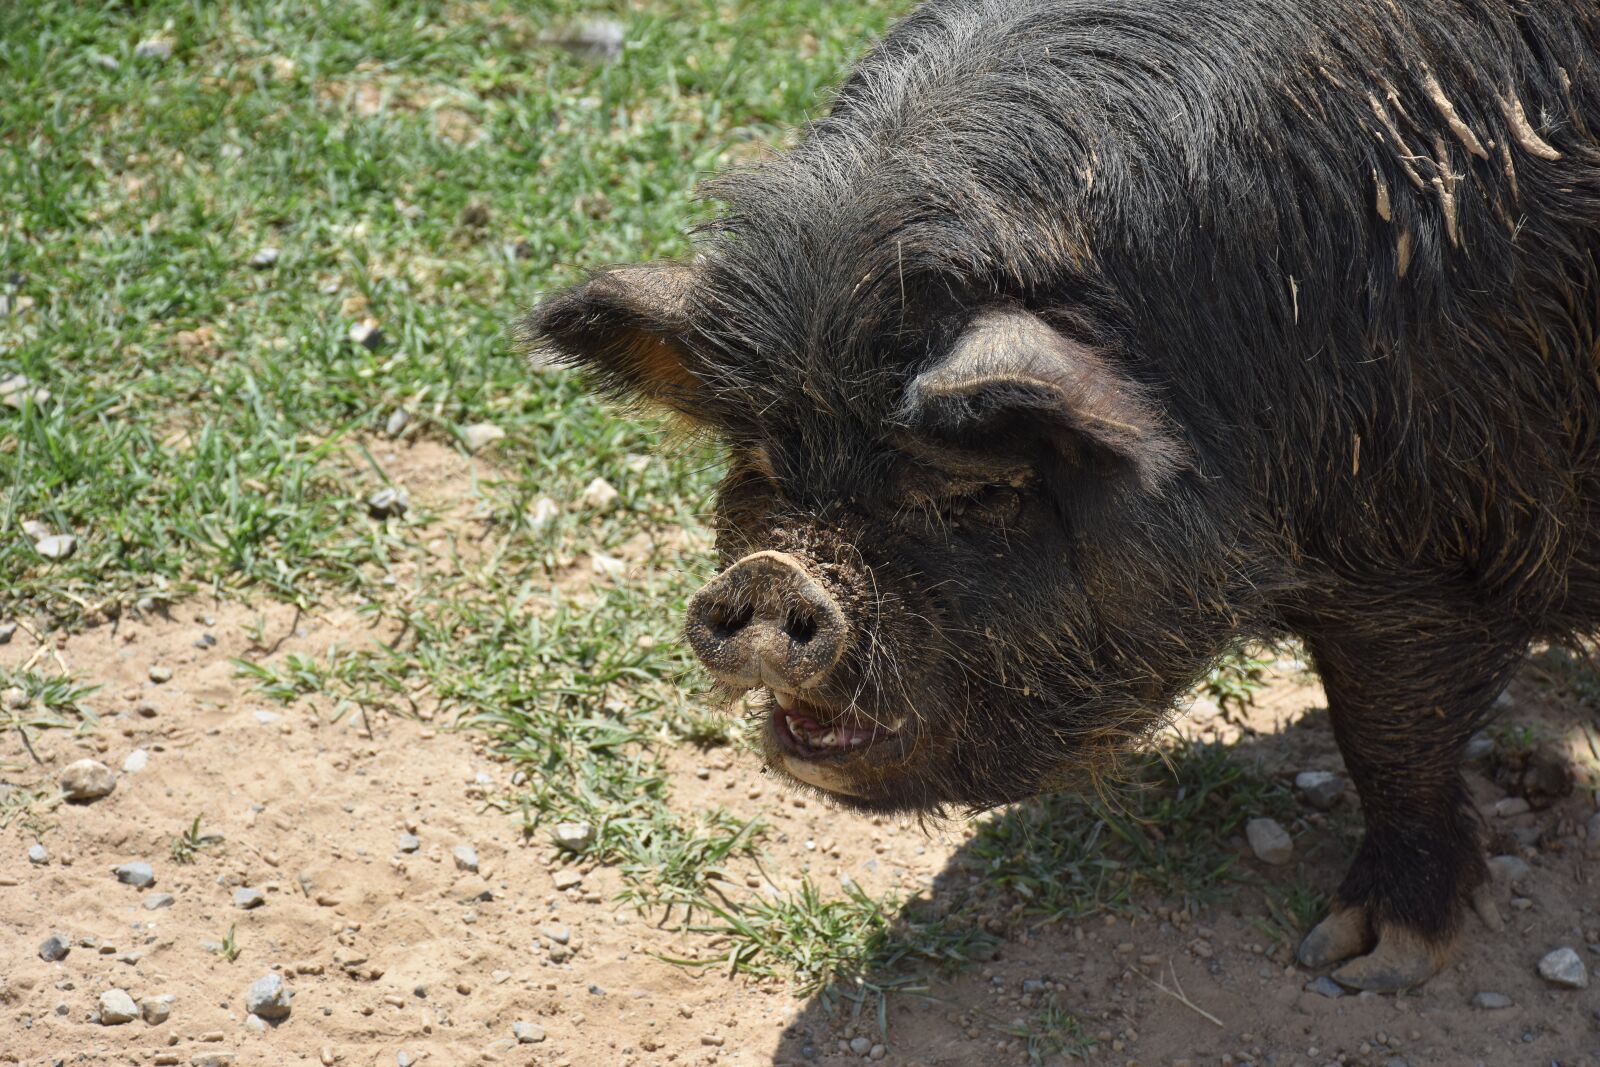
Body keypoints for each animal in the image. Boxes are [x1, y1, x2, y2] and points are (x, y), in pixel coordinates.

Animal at [526, 0, 1600, 991]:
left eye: (974, 488)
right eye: (760, 459)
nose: (771, 576)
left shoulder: (1424, 550)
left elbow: (1390, 736)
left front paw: (1360, 958)